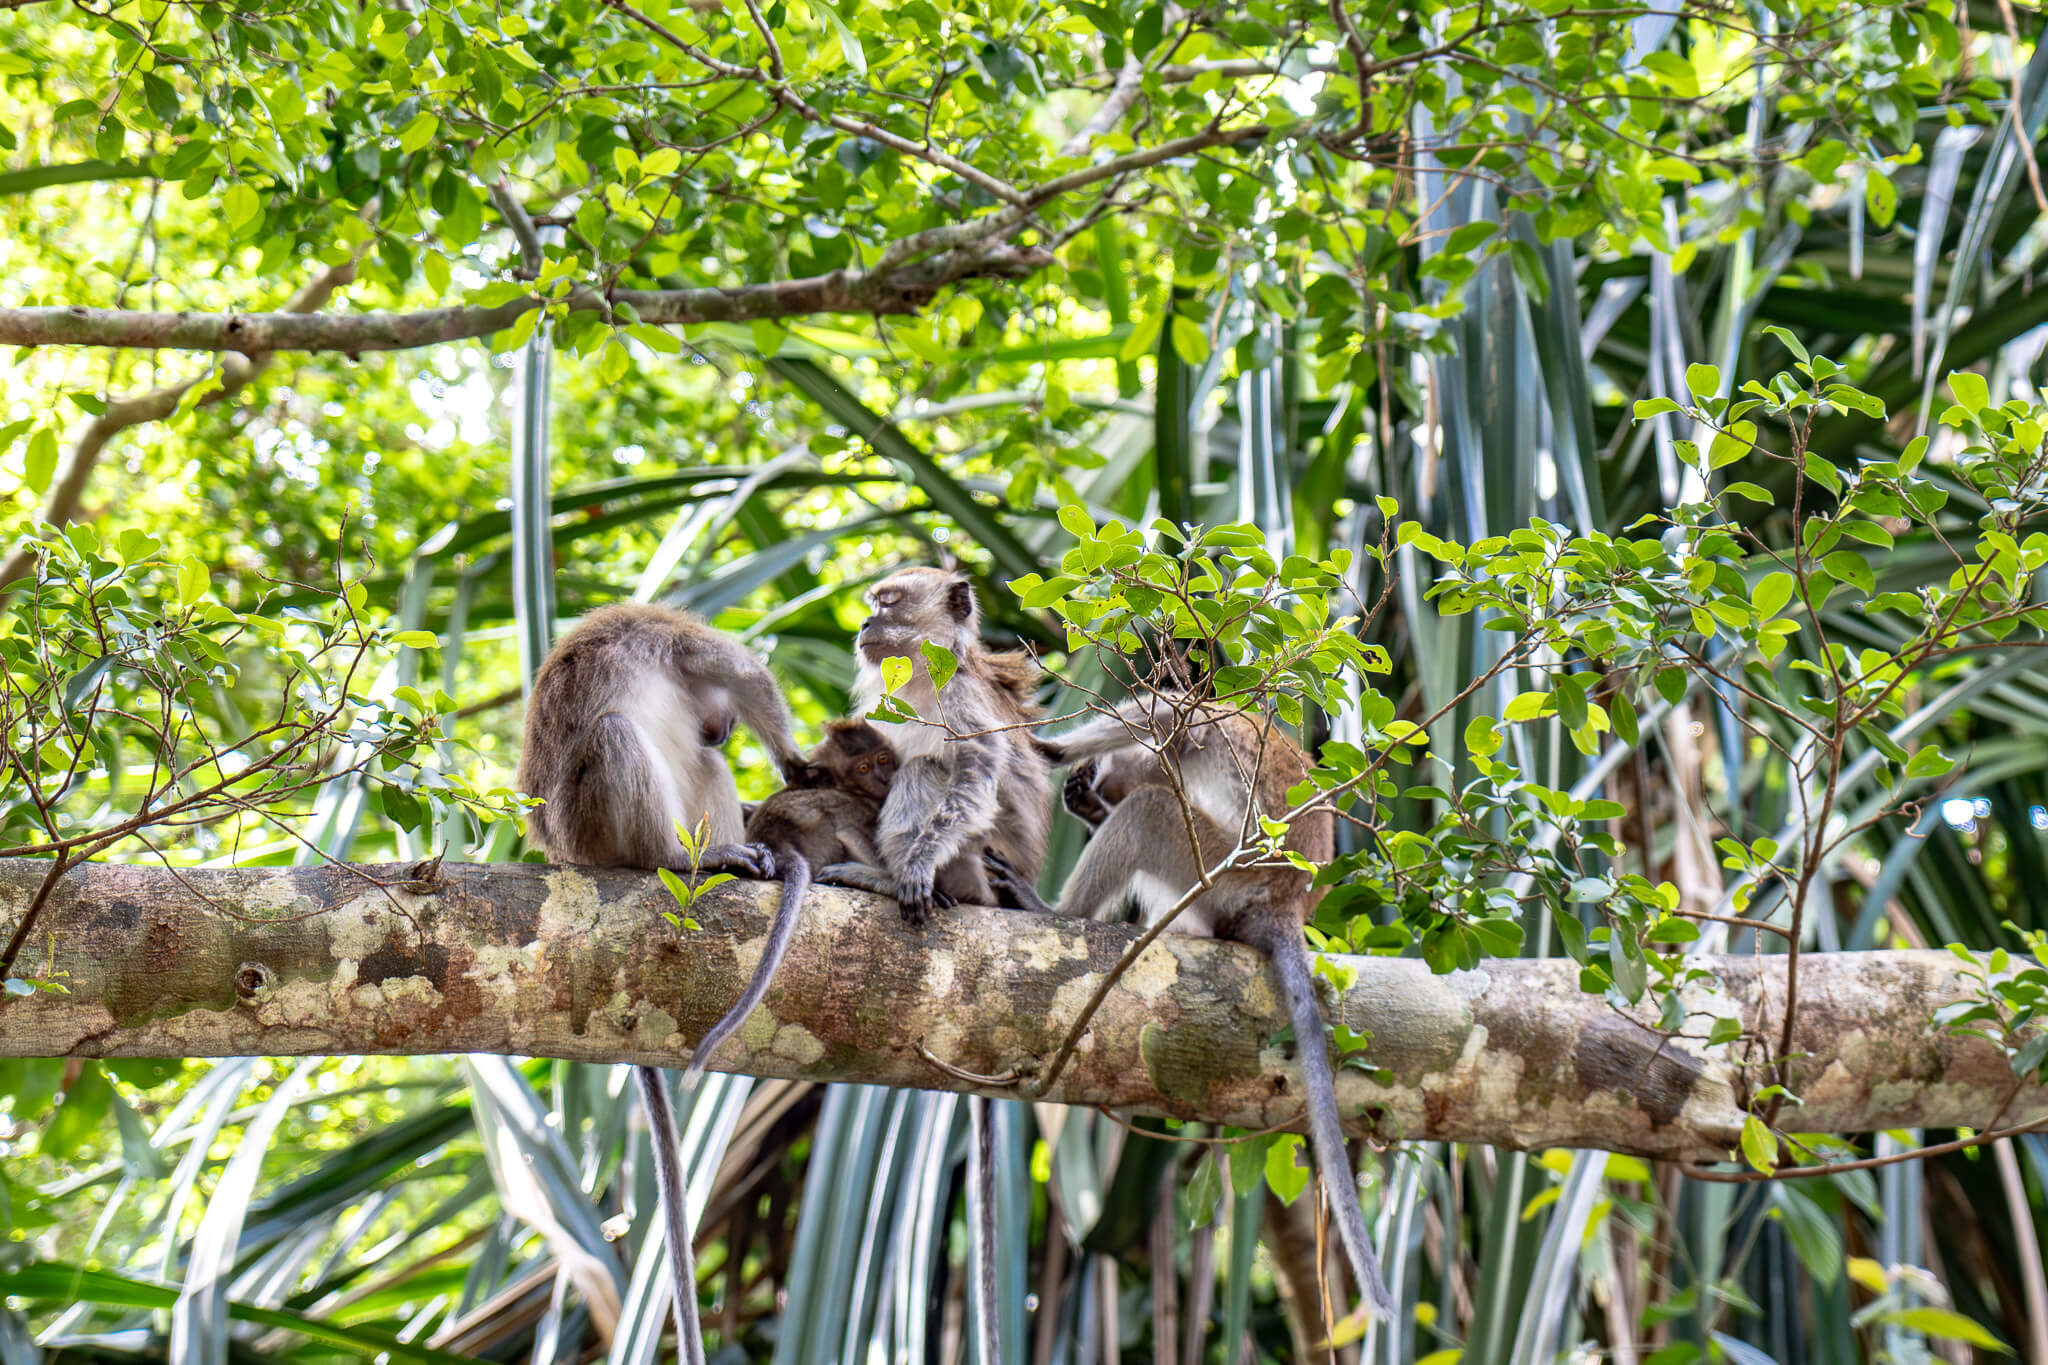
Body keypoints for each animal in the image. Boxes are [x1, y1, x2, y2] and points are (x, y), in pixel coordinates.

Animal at [517, 602, 805, 1365]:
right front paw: (792, 757)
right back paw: (671, 858)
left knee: (697, 765)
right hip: (593, 824)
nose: (721, 729)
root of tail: (564, 854)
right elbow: (748, 674)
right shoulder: (678, 642)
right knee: (616, 735)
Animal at [984, 693, 1396, 1321]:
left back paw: (1052, 911)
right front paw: (1084, 795)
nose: (1100, 786)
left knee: (1152, 811)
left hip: (1222, 873)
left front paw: (1049, 748)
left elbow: (1172, 719)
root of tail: (1286, 905)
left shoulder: (1202, 728)